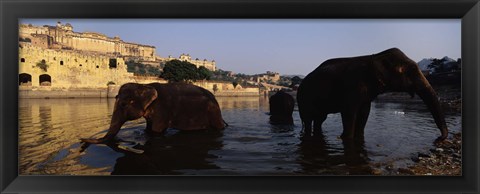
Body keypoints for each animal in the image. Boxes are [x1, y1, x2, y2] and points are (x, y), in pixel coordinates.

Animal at [80, 82, 227, 144]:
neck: (143, 85)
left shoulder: (162, 109)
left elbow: (157, 131)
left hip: (213, 112)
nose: (81, 139)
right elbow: (148, 129)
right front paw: (145, 133)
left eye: (123, 104)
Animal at [298, 47, 448, 141]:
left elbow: (365, 112)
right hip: (304, 98)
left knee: (319, 119)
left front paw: (358, 138)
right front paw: (345, 138)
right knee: (308, 120)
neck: (376, 56)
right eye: (407, 70)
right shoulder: (352, 86)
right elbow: (349, 112)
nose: (439, 138)